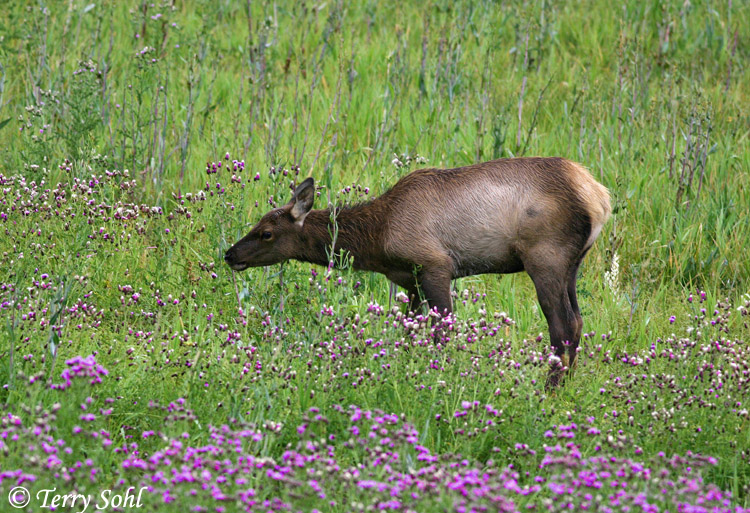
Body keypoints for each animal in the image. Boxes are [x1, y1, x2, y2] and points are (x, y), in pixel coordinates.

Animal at [224, 157, 611, 386]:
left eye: (266, 232)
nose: (230, 254)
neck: (377, 238)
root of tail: (600, 198)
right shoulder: (408, 281)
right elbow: (411, 334)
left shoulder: (435, 265)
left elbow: (442, 333)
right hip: (572, 266)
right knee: (577, 323)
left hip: (545, 258)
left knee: (562, 326)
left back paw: (550, 390)